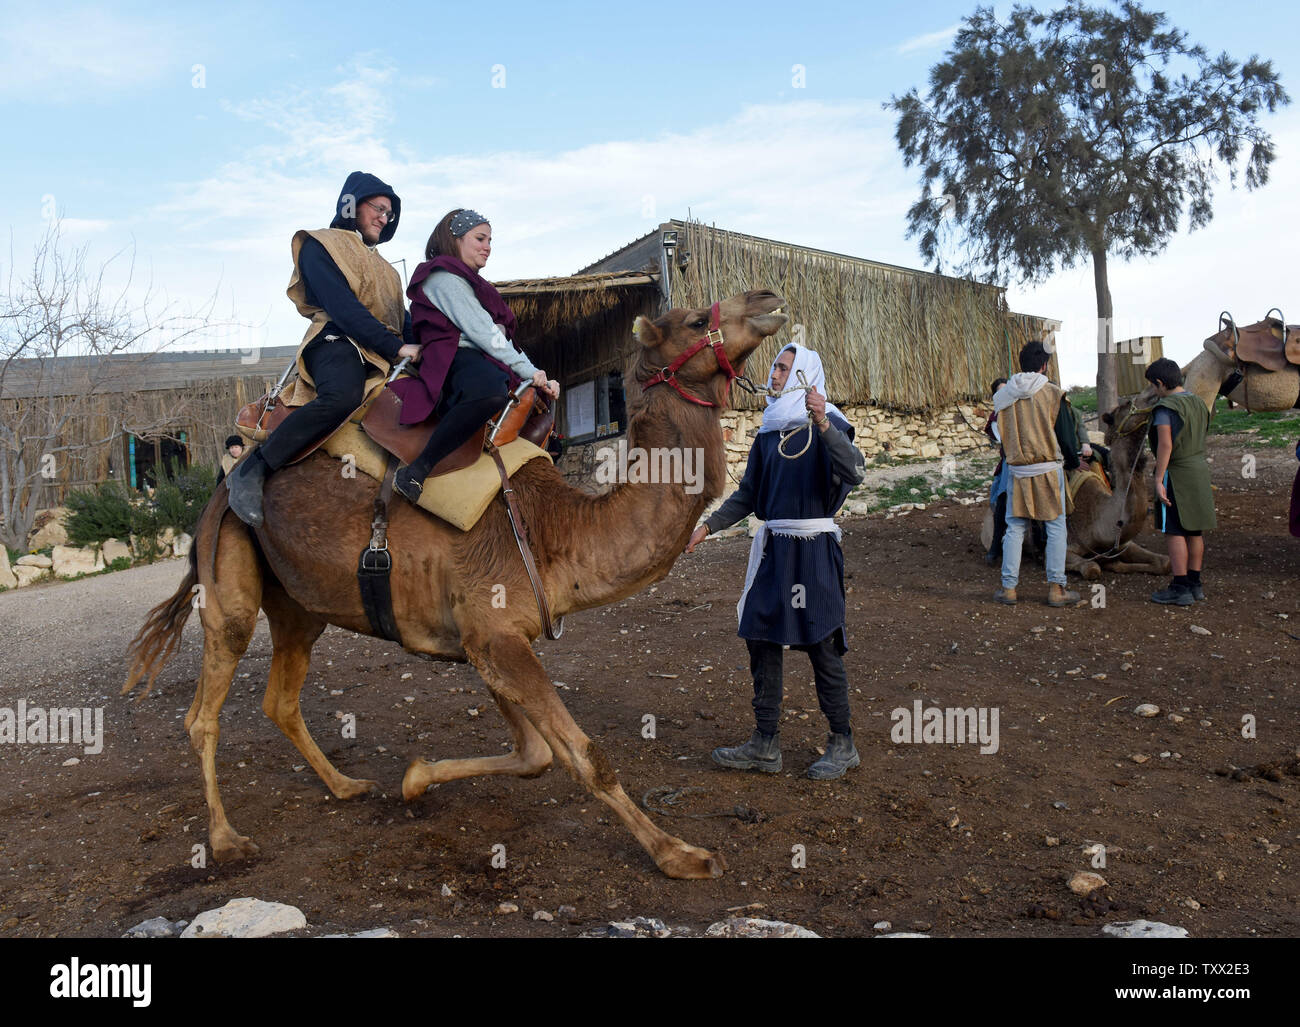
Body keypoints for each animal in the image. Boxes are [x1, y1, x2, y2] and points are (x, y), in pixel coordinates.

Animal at [126, 289, 785, 883]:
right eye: (696, 319)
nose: (769, 298)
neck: (552, 529)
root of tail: (221, 486)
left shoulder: (487, 637)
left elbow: (535, 754)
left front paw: (415, 779)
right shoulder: (494, 633)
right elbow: (585, 755)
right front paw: (683, 856)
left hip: (297, 604)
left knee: (280, 698)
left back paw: (347, 785)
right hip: (229, 573)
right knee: (204, 709)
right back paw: (226, 840)